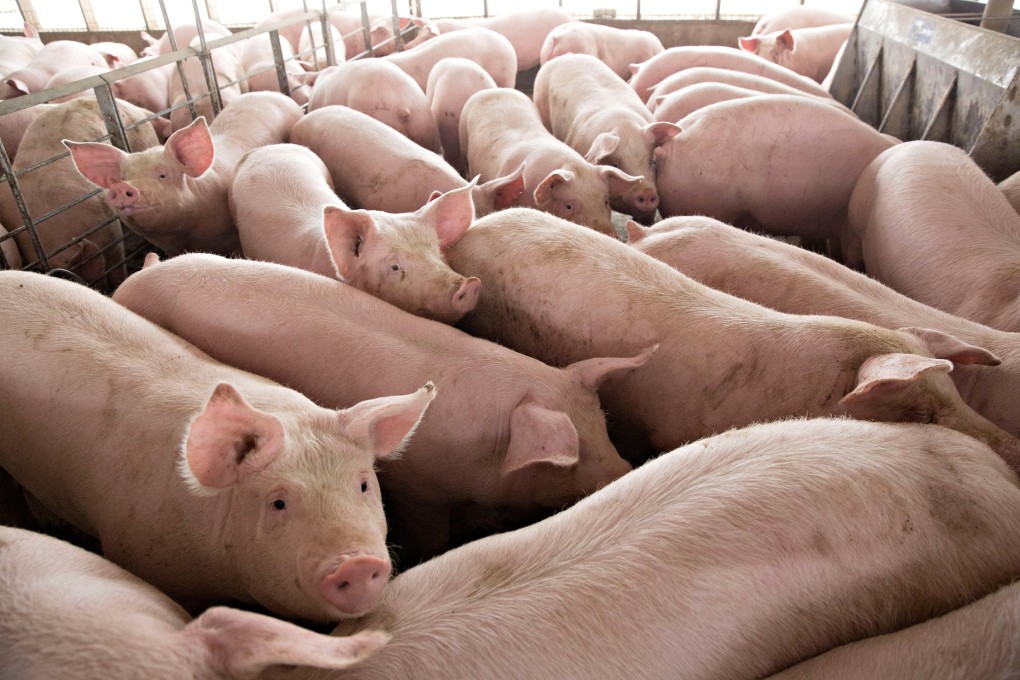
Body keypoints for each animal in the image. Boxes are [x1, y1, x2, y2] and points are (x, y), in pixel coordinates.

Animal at [114, 253, 645, 561]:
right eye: (565, 458)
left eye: (602, 425)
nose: (627, 470)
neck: (488, 448)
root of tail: (137, 271)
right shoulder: (418, 489)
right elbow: (432, 536)